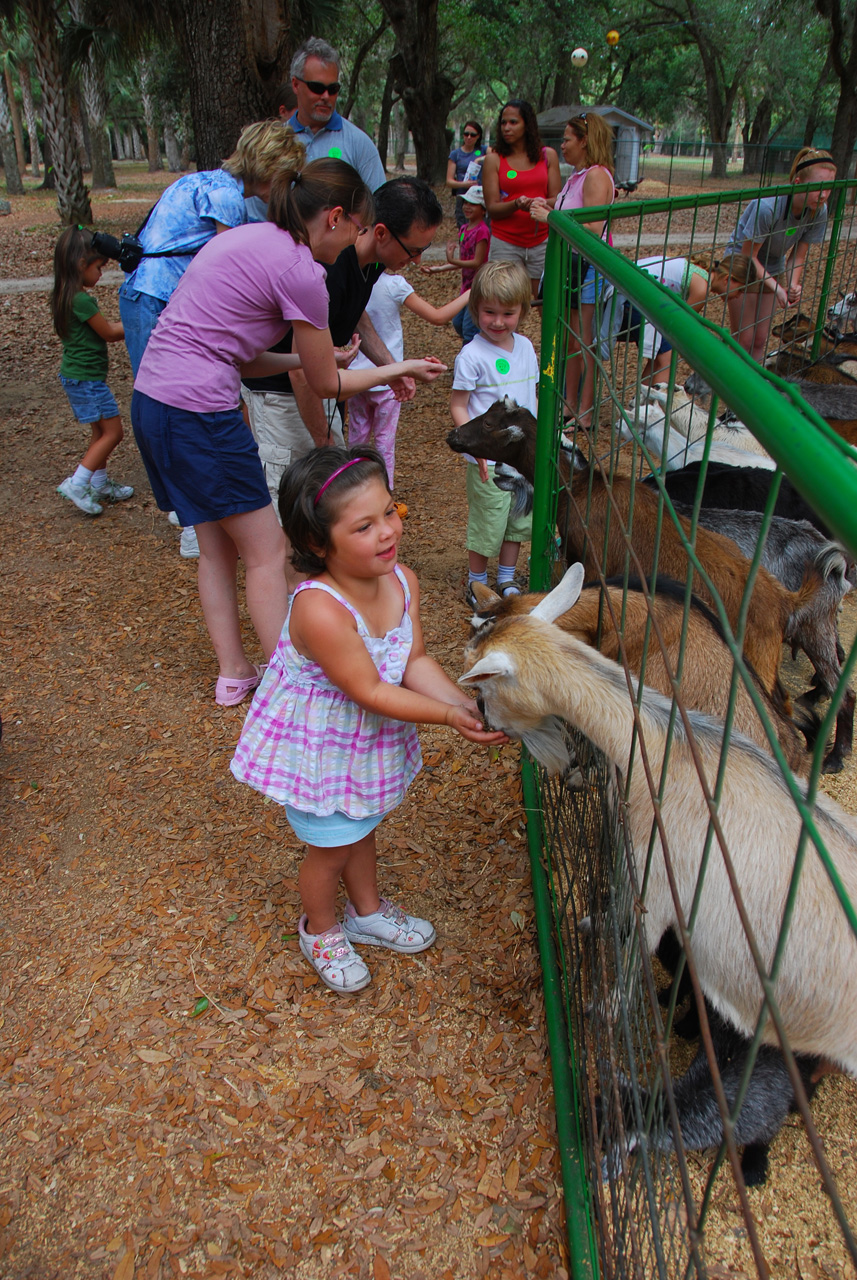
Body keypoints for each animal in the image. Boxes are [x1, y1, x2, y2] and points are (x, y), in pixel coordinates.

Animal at [465, 565, 857, 1075]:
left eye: (484, 684)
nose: (484, 719)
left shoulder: (661, 879)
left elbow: (636, 945)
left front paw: (606, 1009)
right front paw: (595, 921)